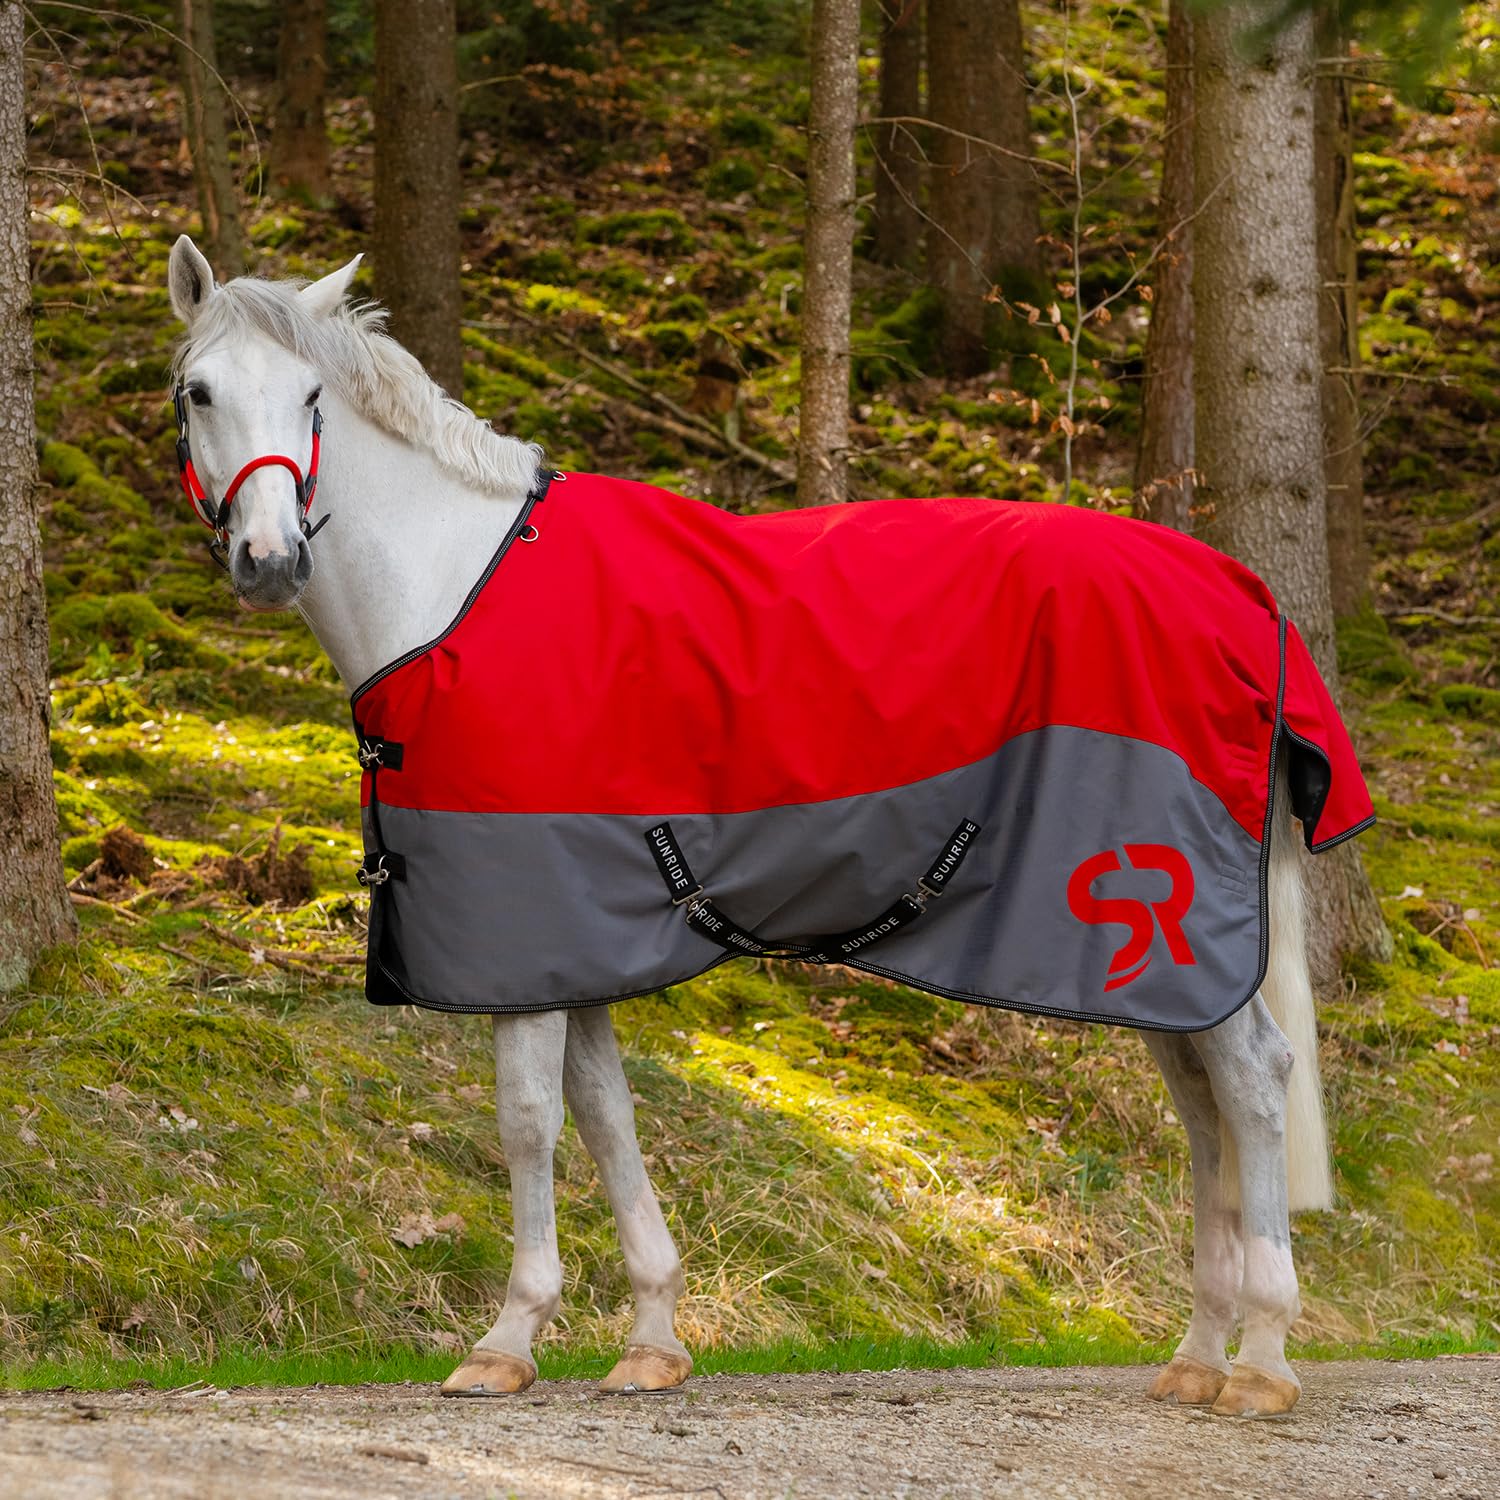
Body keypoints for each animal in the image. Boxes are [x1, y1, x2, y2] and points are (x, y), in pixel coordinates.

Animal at [163, 234, 1349, 1417]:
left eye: (311, 396)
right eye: (199, 391)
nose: (270, 560)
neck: (455, 589)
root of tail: (1238, 591)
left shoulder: (523, 935)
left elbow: (528, 1119)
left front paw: (510, 1336)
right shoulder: (576, 937)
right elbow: (607, 1111)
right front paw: (651, 1335)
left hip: (1162, 921)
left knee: (1253, 1081)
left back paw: (1262, 1356)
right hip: (1144, 957)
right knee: (1200, 1104)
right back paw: (1198, 1353)